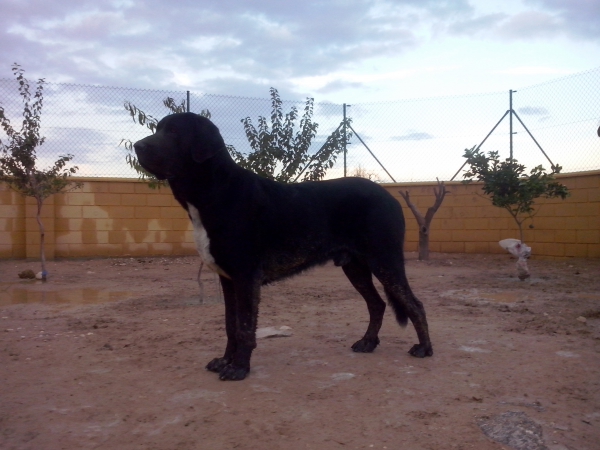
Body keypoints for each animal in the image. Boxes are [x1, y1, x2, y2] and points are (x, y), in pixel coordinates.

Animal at [135, 112, 432, 380]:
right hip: (356, 267)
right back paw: (368, 342)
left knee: (415, 303)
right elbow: (231, 325)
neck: (215, 191)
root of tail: (391, 198)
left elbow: (244, 327)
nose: (137, 146)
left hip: (385, 261)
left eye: (174, 131)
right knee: (377, 304)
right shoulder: (228, 280)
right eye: (159, 129)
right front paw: (225, 361)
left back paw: (424, 348)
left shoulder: (245, 278)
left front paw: (239, 368)